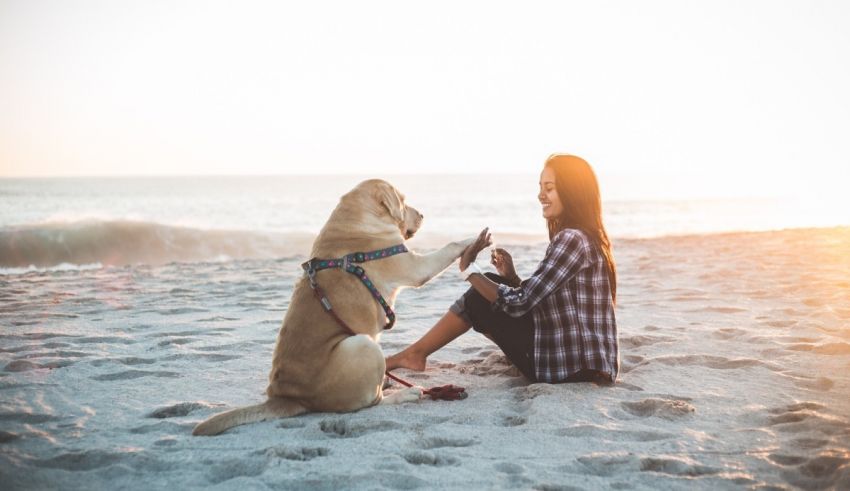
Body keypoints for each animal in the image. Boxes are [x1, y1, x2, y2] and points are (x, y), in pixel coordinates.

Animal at [192, 179, 474, 436]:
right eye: (403, 202)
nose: (423, 214)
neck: (355, 219)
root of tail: (289, 398)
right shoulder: (415, 266)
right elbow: (449, 246)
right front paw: (471, 239)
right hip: (364, 345)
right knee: (372, 403)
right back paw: (405, 394)